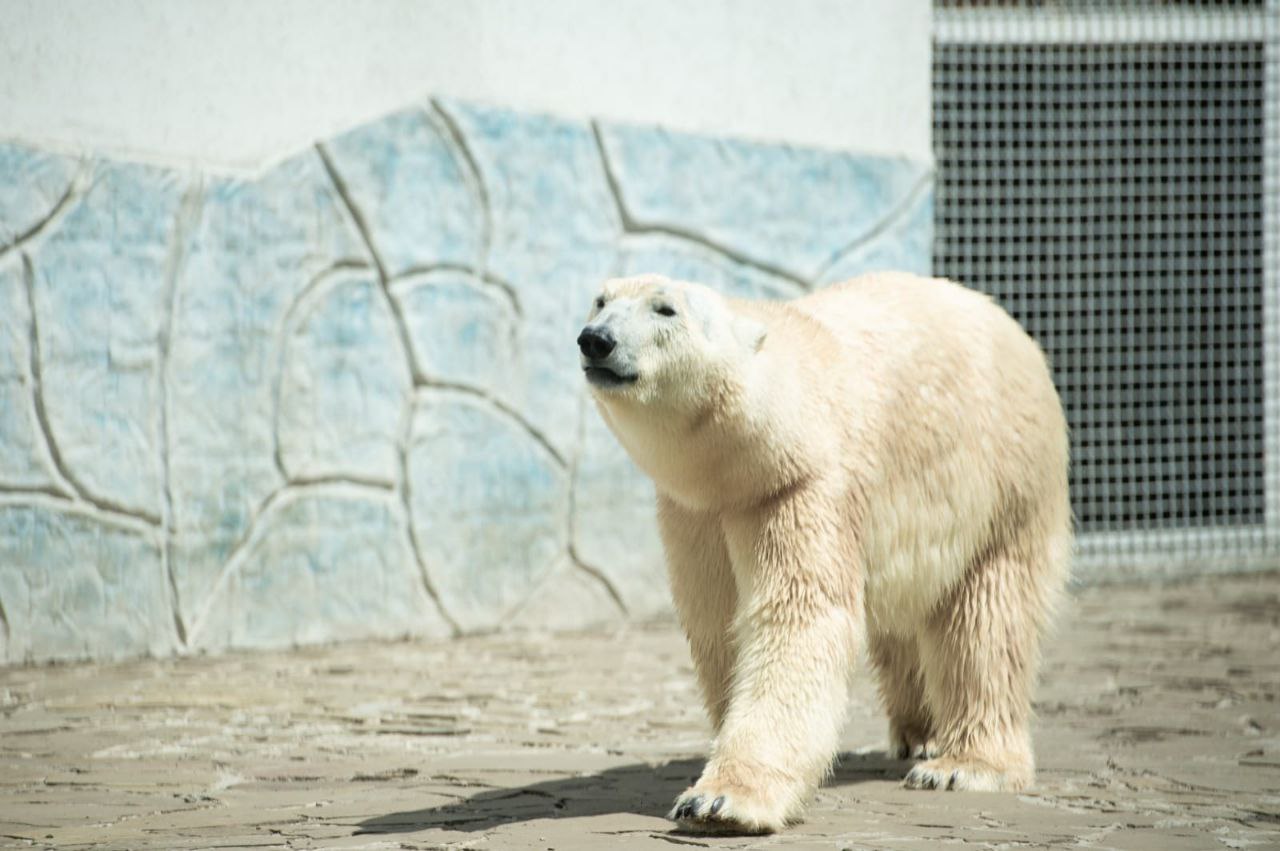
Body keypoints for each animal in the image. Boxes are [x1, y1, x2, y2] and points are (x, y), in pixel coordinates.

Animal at [581, 270, 1070, 829]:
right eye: (600, 301)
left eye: (665, 309)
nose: (595, 339)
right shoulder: (698, 512)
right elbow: (717, 624)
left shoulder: (801, 485)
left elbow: (798, 616)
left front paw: (720, 801)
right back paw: (920, 735)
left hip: (1004, 479)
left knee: (987, 618)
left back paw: (961, 765)